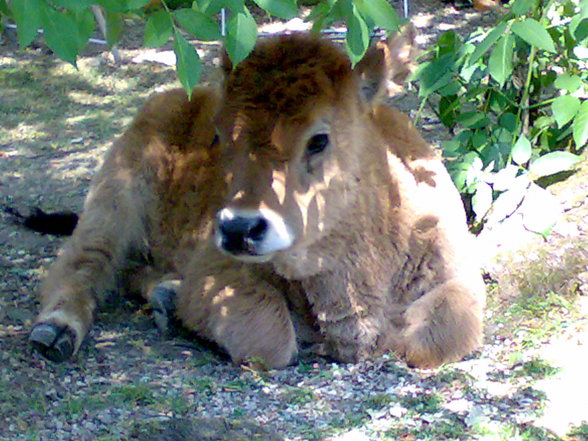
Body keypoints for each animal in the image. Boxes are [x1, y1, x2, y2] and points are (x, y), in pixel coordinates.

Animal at [29, 24, 484, 368]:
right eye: (219, 134)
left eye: (319, 139)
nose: (238, 228)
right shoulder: (216, 270)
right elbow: (270, 338)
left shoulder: (459, 273)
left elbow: (439, 334)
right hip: (116, 194)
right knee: (87, 261)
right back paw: (54, 332)